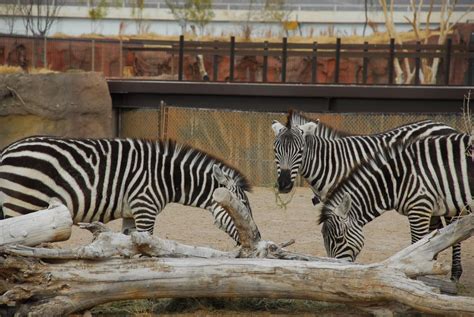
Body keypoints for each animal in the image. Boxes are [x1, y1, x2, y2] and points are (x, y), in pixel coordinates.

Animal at [0, 136, 260, 242]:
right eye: (242, 206)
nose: (258, 236)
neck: (167, 177)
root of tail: (7, 150)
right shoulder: (145, 208)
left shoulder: (131, 213)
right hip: (22, 205)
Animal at [316, 133, 472, 278]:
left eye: (339, 239)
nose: (334, 269)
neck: (398, 179)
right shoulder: (428, 209)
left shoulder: (419, 208)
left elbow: (417, 245)